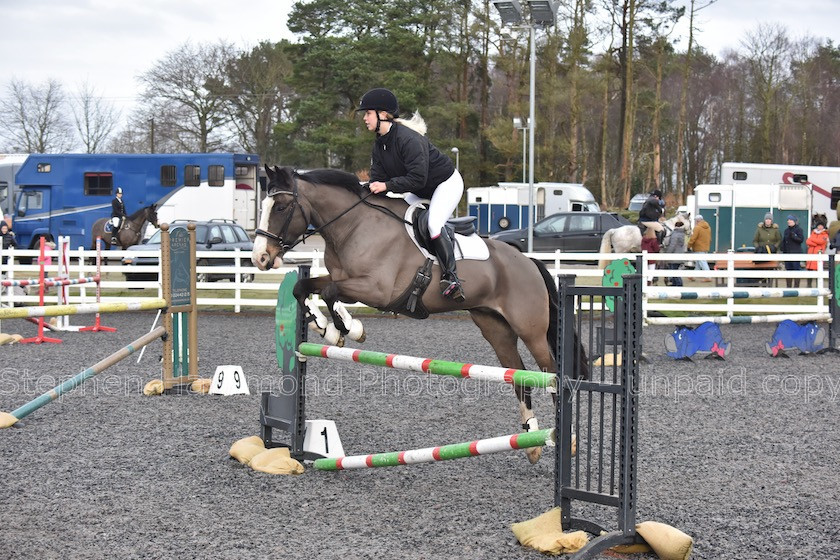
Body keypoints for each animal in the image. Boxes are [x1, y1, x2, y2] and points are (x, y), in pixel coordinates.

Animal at [253, 165, 588, 464]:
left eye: (281, 207)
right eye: (265, 205)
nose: (260, 258)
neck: (353, 226)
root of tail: (528, 261)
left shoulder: (376, 289)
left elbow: (331, 293)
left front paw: (348, 329)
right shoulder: (344, 281)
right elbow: (304, 288)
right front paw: (326, 329)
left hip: (530, 329)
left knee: (552, 372)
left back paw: (567, 440)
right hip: (495, 328)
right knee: (519, 375)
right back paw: (532, 442)